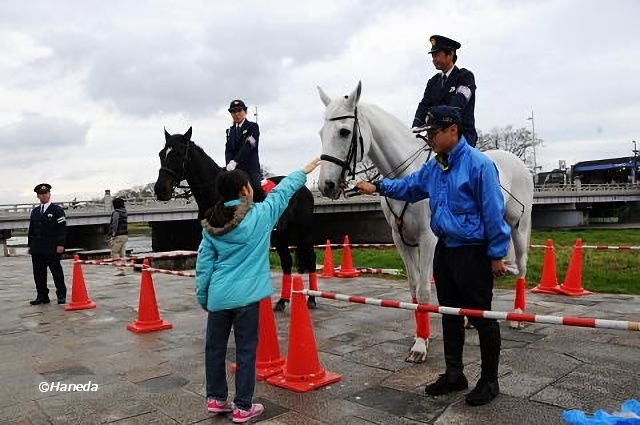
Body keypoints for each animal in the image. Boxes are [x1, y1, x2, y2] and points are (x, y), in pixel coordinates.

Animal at [318, 81, 532, 362]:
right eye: (321, 133)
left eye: (344, 132)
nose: (326, 185)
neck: (407, 174)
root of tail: (518, 163)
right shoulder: (401, 240)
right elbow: (412, 288)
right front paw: (420, 337)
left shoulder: (428, 239)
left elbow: (423, 290)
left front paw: (421, 345)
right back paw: (470, 318)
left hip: (520, 227)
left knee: (522, 267)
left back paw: (517, 315)